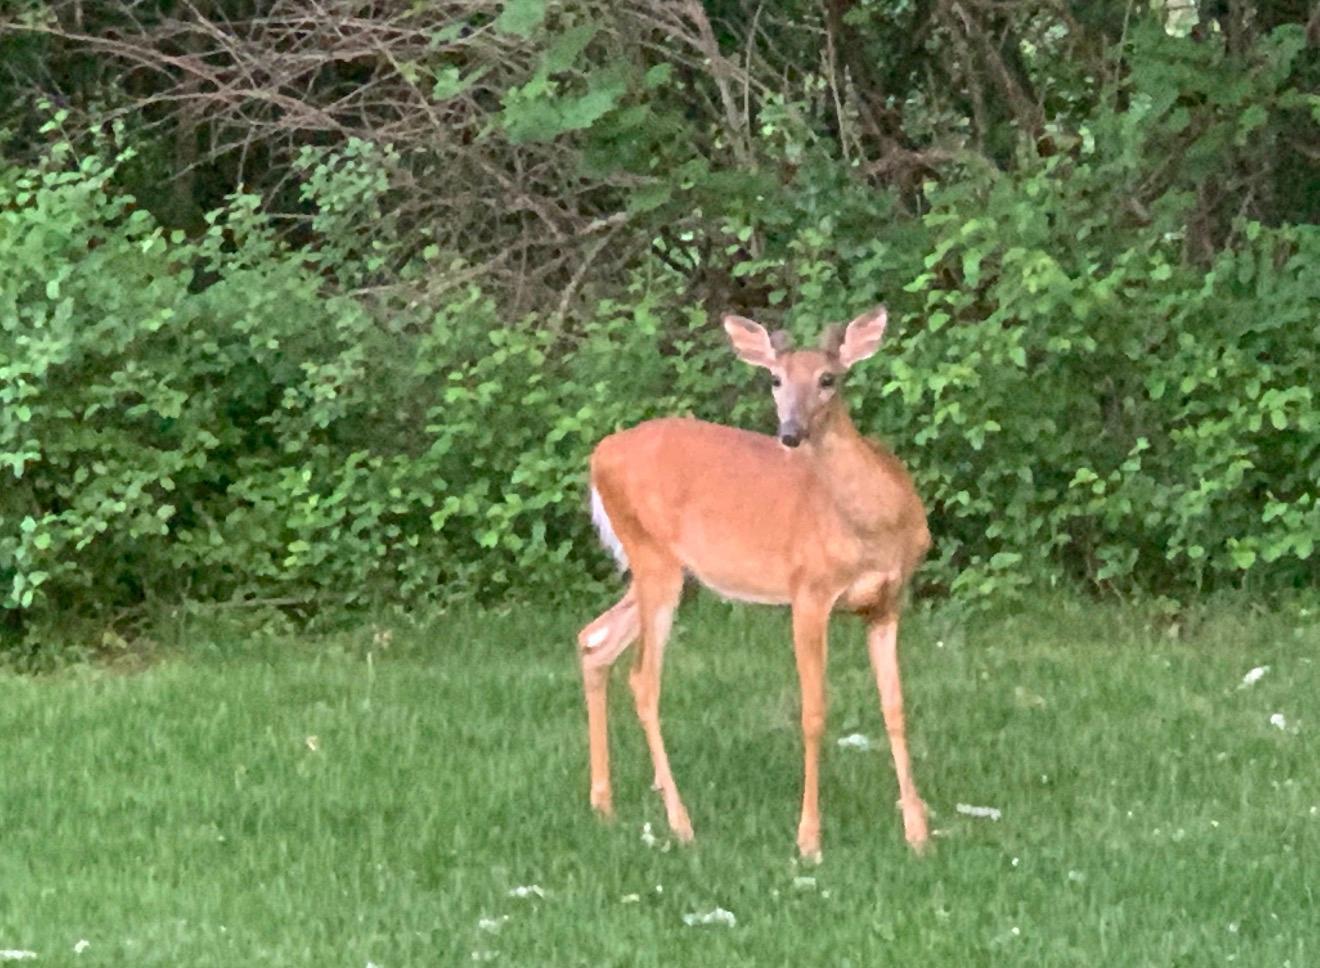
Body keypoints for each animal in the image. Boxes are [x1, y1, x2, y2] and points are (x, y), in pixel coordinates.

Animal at [575, 306, 931, 861]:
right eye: (775, 379)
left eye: (828, 379)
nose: (790, 433)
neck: (875, 526)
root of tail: (599, 457)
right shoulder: (808, 590)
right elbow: (813, 712)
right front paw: (808, 839)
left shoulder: (889, 602)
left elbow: (895, 708)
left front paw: (917, 832)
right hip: (653, 557)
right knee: (643, 680)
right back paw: (681, 823)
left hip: (663, 569)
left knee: (594, 640)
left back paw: (604, 805)